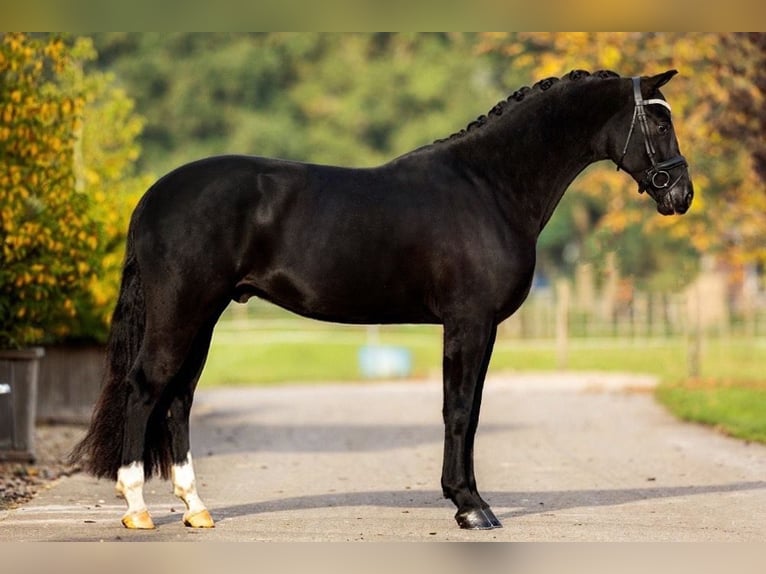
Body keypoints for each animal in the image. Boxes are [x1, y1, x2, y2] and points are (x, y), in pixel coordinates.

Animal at [70, 70, 696, 532]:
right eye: (658, 119)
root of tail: (154, 195)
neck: (488, 187)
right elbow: (460, 410)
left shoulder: (476, 326)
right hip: (182, 312)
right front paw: (471, 506)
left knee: (179, 397)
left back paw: (196, 509)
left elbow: (469, 410)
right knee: (146, 386)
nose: (682, 194)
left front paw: (467, 500)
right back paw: (137, 508)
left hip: (203, 315)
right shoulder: (470, 323)